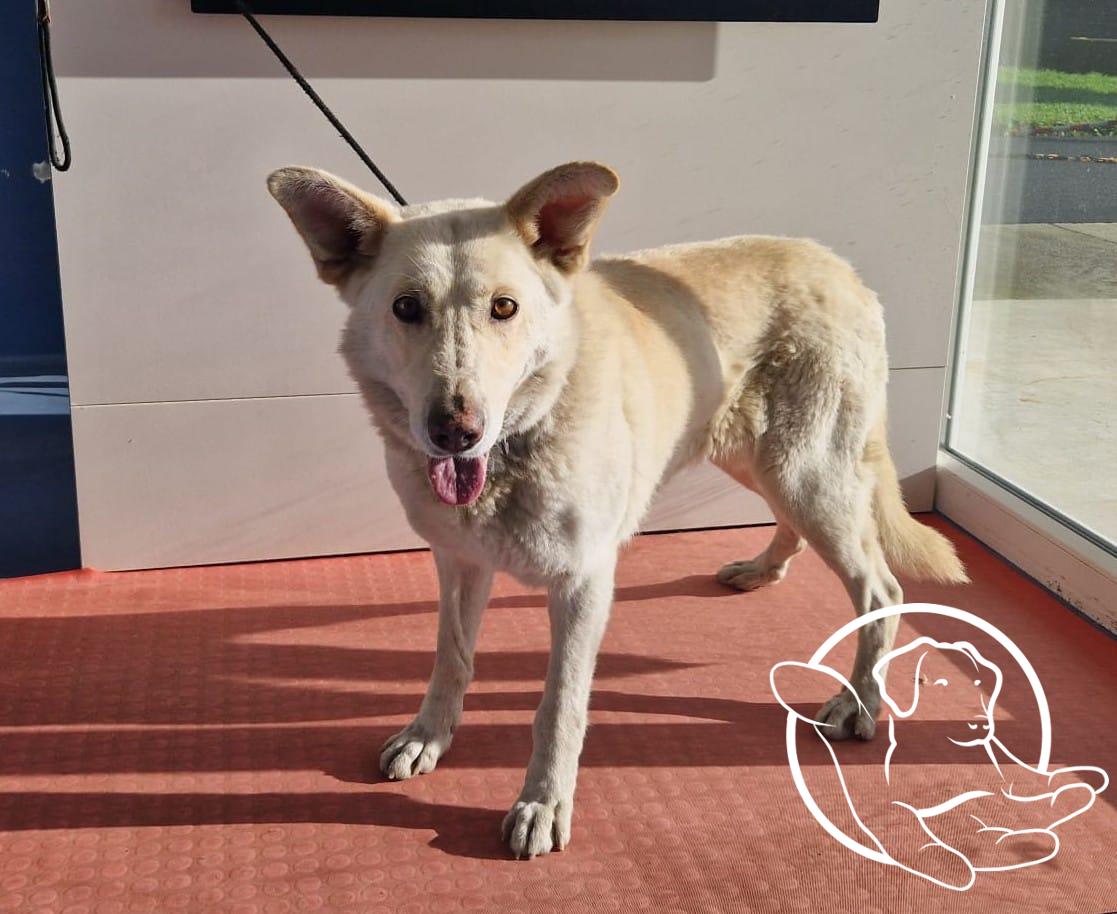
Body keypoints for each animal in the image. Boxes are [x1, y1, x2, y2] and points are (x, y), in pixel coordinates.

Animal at [266, 161, 968, 858]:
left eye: (504, 308)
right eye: (406, 308)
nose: (455, 432)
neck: (522, 441)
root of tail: (837, 266)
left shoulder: (582, 583)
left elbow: (560, 705)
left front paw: (543, 803)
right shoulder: (459, 562)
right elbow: (451, 656)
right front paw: (429, 735)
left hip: (805, 472)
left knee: (880, 589)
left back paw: (859, 702)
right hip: (760, 459)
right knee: (797, 529)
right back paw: (763, 570)